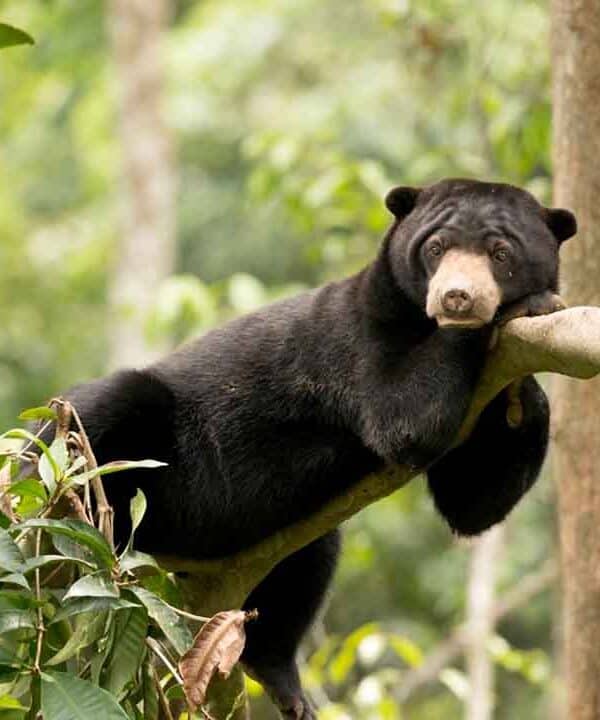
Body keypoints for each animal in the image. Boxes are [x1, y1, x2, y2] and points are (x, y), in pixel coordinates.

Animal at [47, 178, 576, 719]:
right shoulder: (358, 341)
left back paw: (284, 682)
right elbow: (403, 416)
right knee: (109, 408)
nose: (457, 299)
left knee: (302, 572)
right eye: (435, 247)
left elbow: (473, 501)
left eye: (500, 252)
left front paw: (528, 384)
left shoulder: (481, 402)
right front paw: (526, 307)